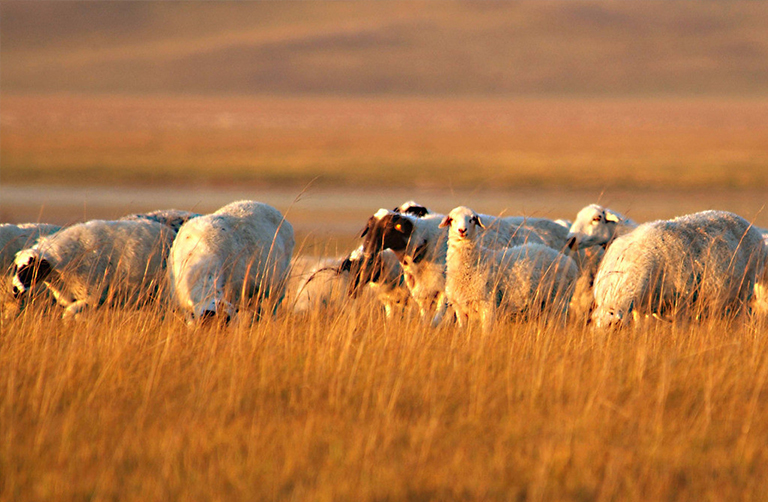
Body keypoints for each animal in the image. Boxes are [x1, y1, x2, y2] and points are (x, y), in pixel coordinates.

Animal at [438, 206, 576, 332]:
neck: (474, 262)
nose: (462, 230)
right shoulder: (460, 310)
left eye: (472, 219)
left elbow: (486, 333)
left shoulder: (489, 305)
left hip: (559, 302)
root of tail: (568, 261)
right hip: (542, 306)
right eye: (452, 219)